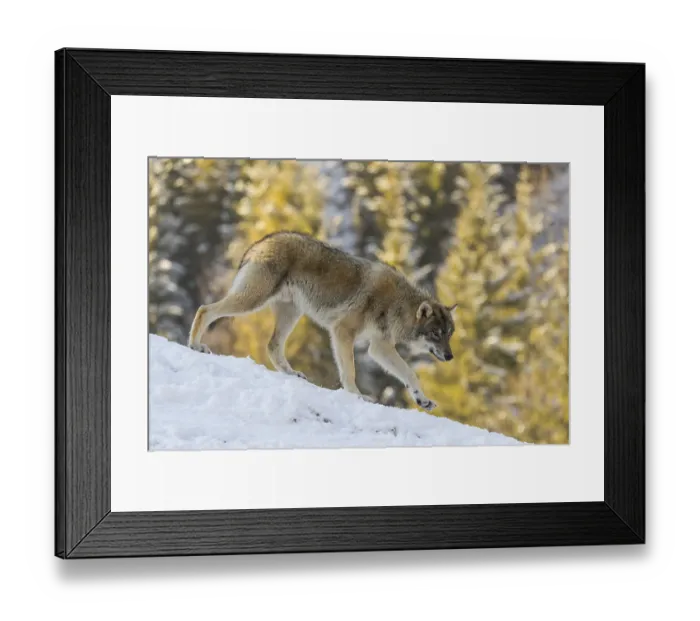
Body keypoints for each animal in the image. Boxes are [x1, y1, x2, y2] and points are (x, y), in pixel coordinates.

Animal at [188, 232, 456, 411]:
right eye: (436, 333)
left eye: (449, 333)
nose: (450, 356)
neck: (397, 305)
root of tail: (261, 241)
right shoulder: (342, 332)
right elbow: (350, 371)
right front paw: (357, 396)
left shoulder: (379, 347)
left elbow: (410, 374)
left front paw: (422, 400)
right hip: (252, 301)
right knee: (205, 309)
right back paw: (195, 345)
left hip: (290, 314)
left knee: (272, 346)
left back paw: (292, 373)